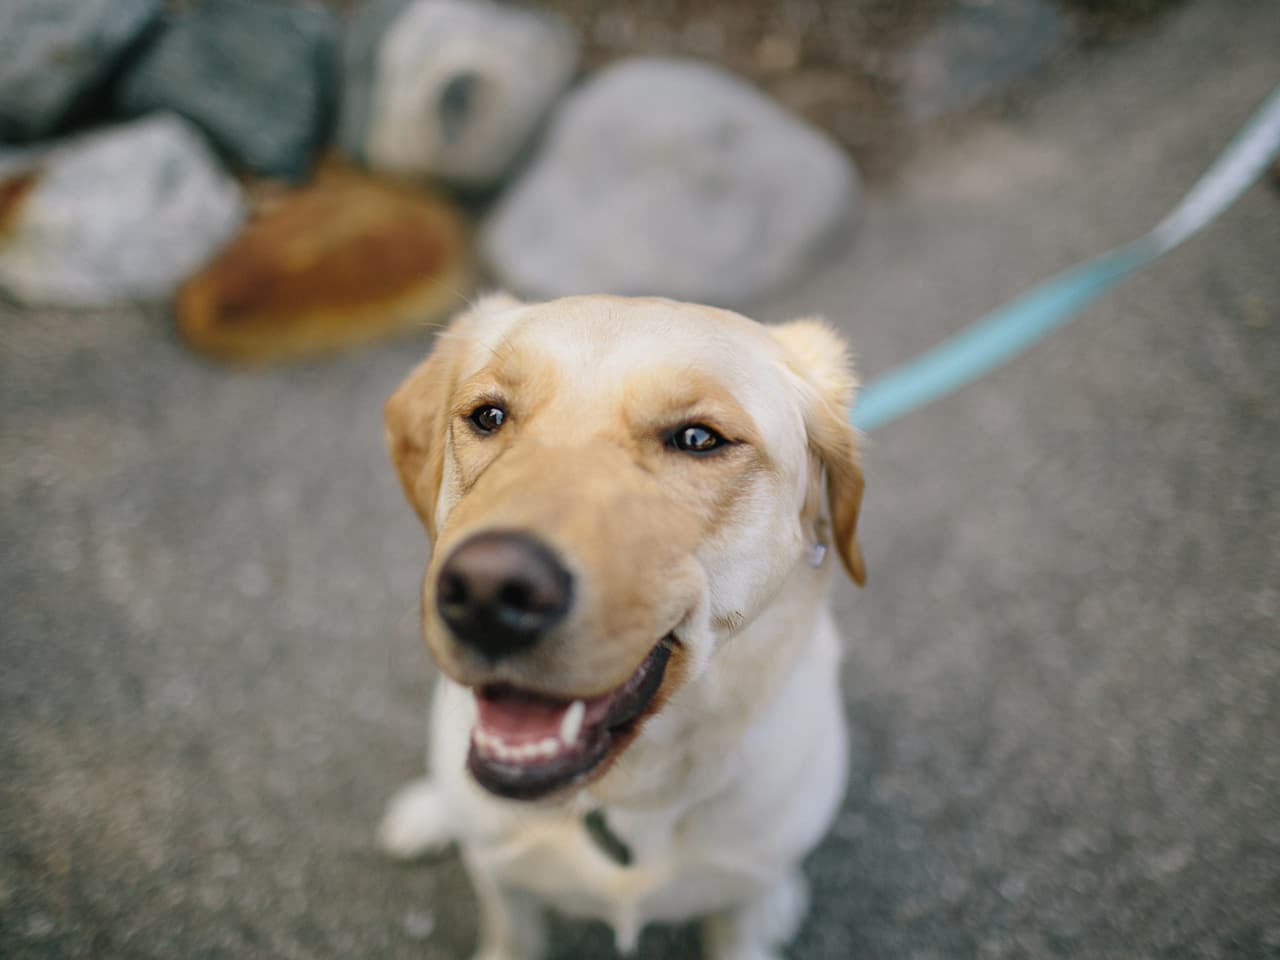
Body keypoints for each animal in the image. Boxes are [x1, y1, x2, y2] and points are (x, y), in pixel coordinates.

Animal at [373, 295, 865, 960]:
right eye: (489, 416)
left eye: (697, 438)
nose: (485, 592)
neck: (625, 794)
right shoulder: (505, 886)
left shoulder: (736, 909)